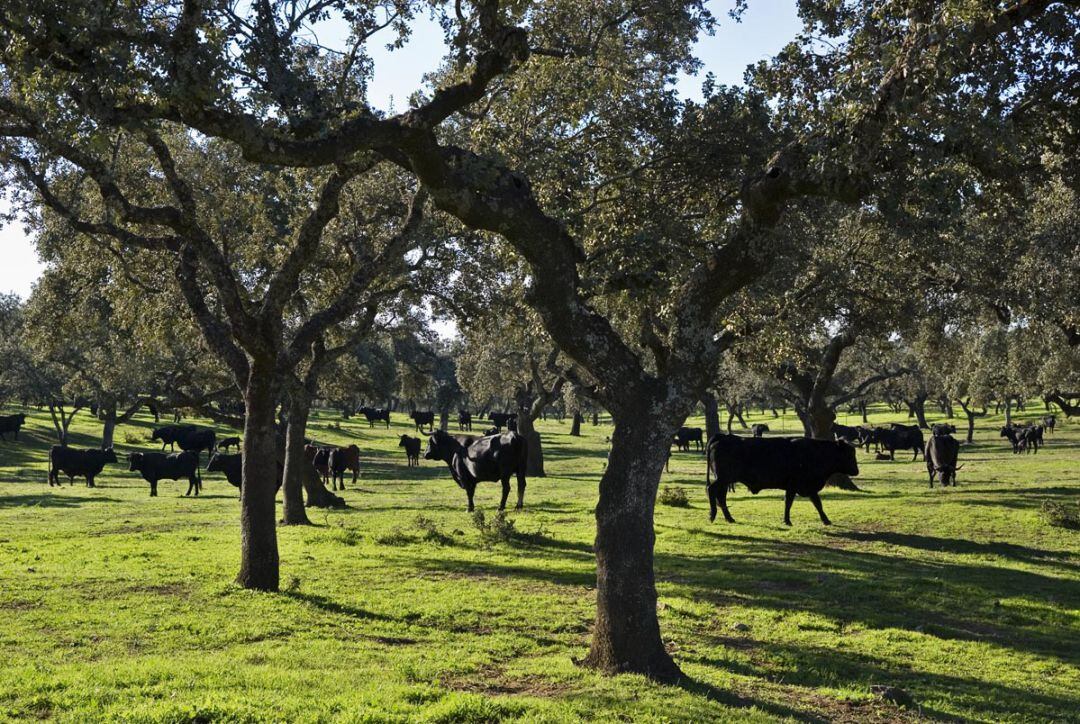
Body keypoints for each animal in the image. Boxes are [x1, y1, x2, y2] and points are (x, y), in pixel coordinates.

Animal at [708, 434, 859, 525]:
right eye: (849, 454)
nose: (856, 471)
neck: (814, 452)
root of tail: (723, 437)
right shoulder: (794, 485)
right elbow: (789, 503)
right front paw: (787, 521)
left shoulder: (808, 487)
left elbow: (817, 503)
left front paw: (826, 520)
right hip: (723, 479)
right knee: (711, 490)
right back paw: (712, 515)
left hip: (725, 481)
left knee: (721, 496)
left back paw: (729, 518)